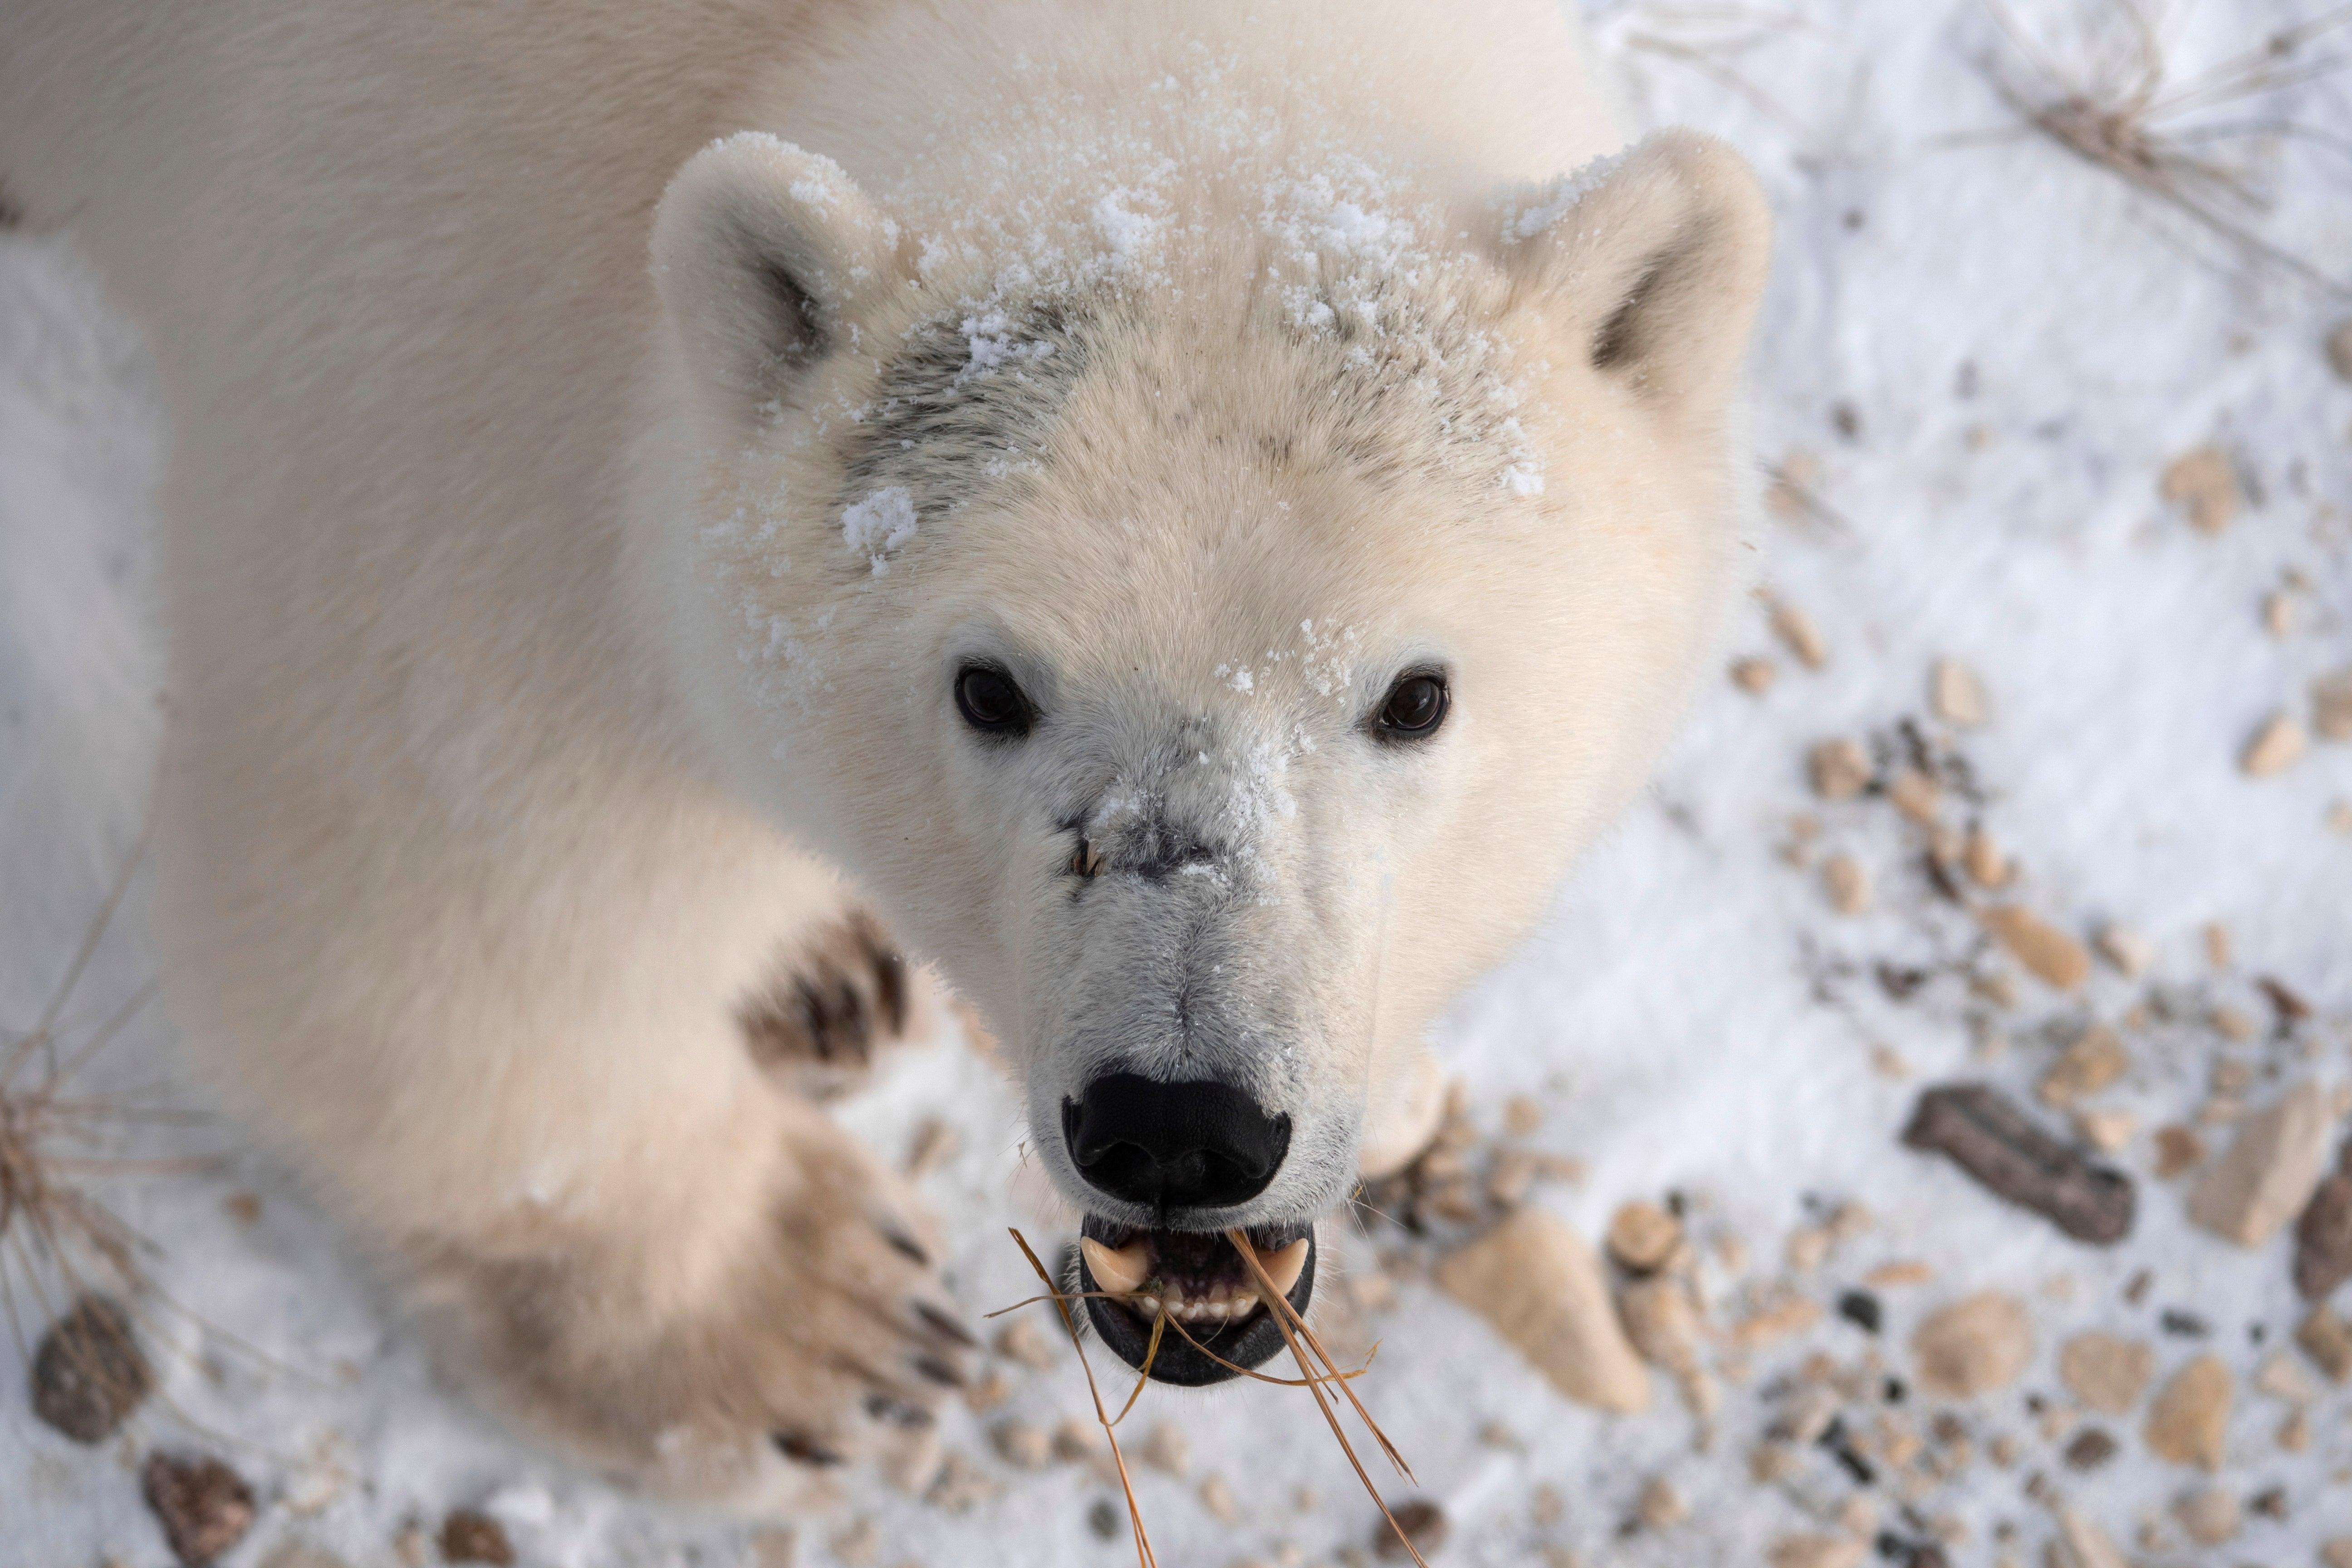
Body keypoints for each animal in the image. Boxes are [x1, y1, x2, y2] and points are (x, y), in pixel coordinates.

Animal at [5, 0, 1769, 1504]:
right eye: (991, 688)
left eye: (1414, 695)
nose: (1179, 1126)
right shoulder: (435, 371)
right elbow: (443, 896)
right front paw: (811, 1316)